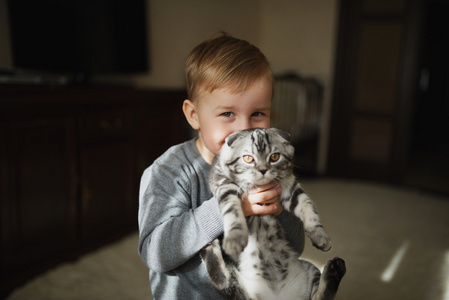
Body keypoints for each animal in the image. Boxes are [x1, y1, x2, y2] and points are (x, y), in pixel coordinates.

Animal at [201, 128, 344, 300]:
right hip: (240, 285)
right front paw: (235, 238)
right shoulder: (225, 186)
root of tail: (276, 296)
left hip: (310, 268)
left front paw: (319, 236)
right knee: (223, 282)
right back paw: (210, 248)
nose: (263, 170)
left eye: (274, 157)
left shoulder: (290, 189)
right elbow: (233, 212)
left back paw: (336, 269)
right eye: (248, 158)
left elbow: (308, 207)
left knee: (319, 296)